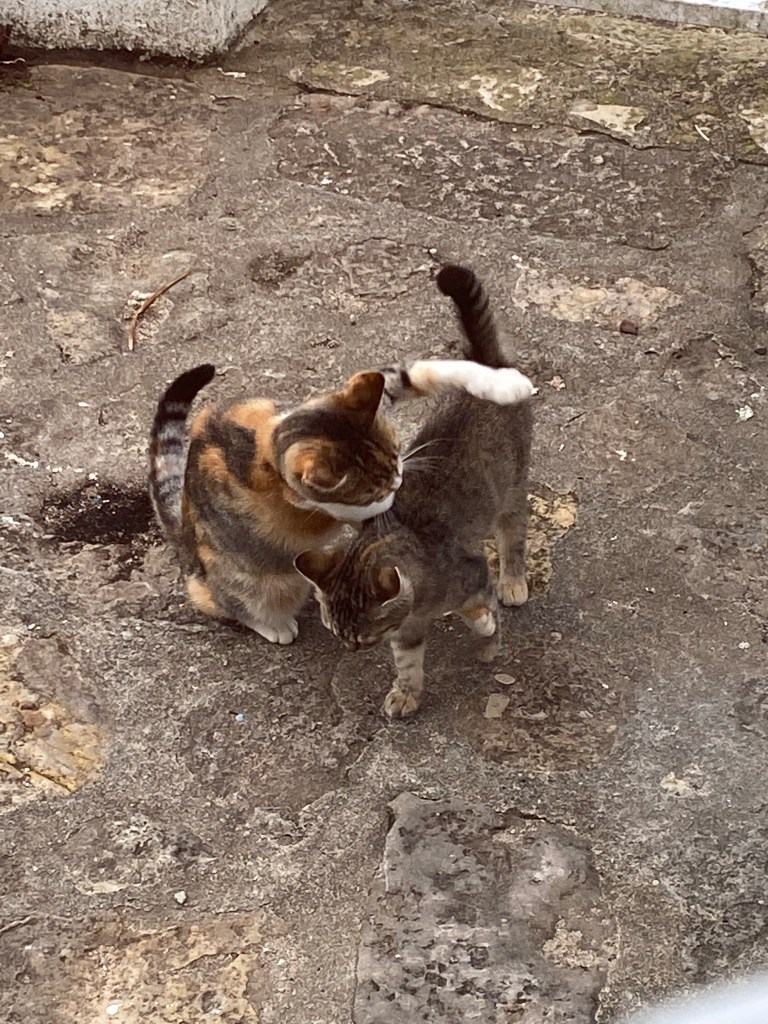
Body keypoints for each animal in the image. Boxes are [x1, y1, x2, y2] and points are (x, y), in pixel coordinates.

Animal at [149, 352, 533, 645]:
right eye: (374, 491)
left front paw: (505, 383)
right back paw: (275, 625)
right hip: (250, 580)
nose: (399, 481)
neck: (271, 439)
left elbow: (422, 370)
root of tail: (184, 536)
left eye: (397, 453)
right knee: (225, 600)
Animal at [295, 264, 533, 716]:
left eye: (363, 635)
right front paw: (406, 693)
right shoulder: (405, 633)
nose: (350, 649)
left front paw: (486, 634)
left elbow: (480, 612)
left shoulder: (471, 573)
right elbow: (408, 666)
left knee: (513, 533)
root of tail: (487, 363)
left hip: (512, 487)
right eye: (335, 630)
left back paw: (513, 579)